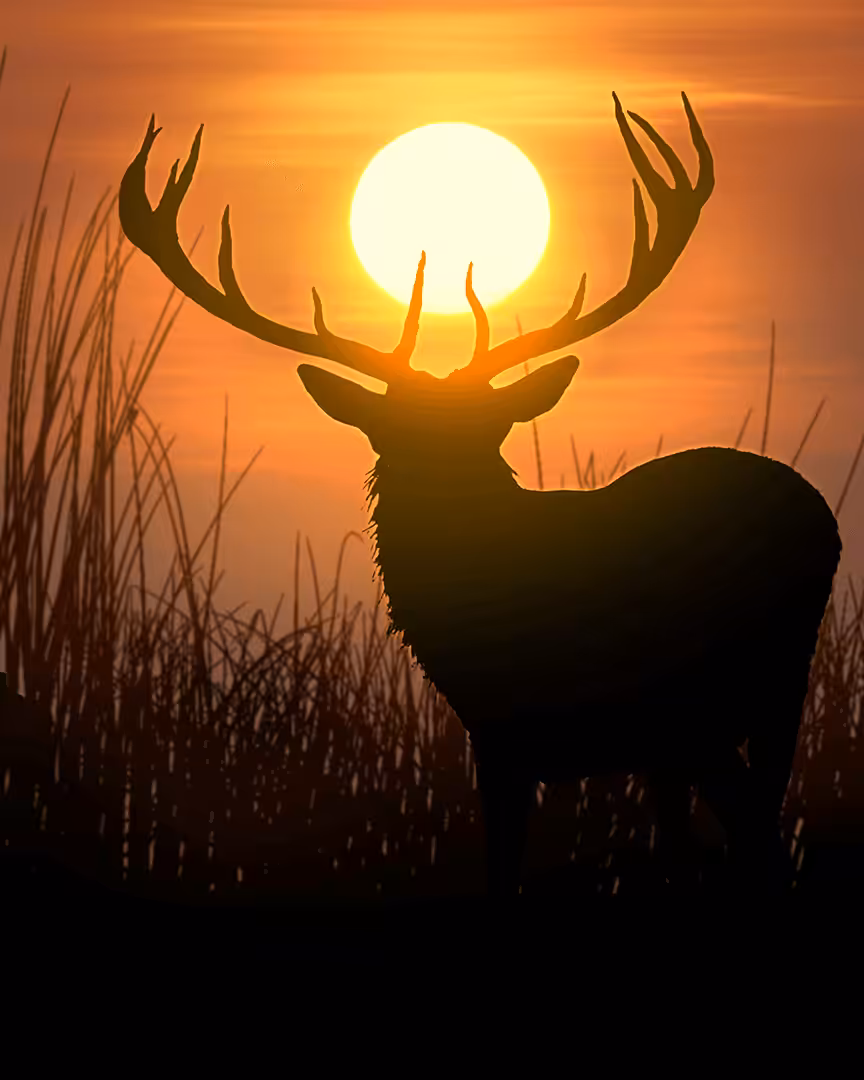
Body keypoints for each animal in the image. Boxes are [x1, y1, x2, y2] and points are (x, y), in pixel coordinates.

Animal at [119, 91, 842, 906]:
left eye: (491, 433)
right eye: (389, 435)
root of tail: (819, 517)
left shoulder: (558, 728)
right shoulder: (524, 736)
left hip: (718, 695)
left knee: (757, 832)